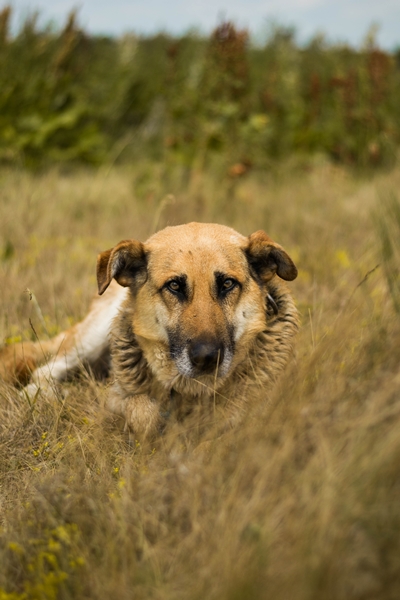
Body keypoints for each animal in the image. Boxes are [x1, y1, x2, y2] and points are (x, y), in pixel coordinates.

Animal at [0, 224, 298, 440]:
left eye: (227, 284)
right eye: (174, 286)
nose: (207, 359)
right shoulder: (118, 398)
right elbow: (143, 413)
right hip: (92, 339)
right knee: (45, 371)